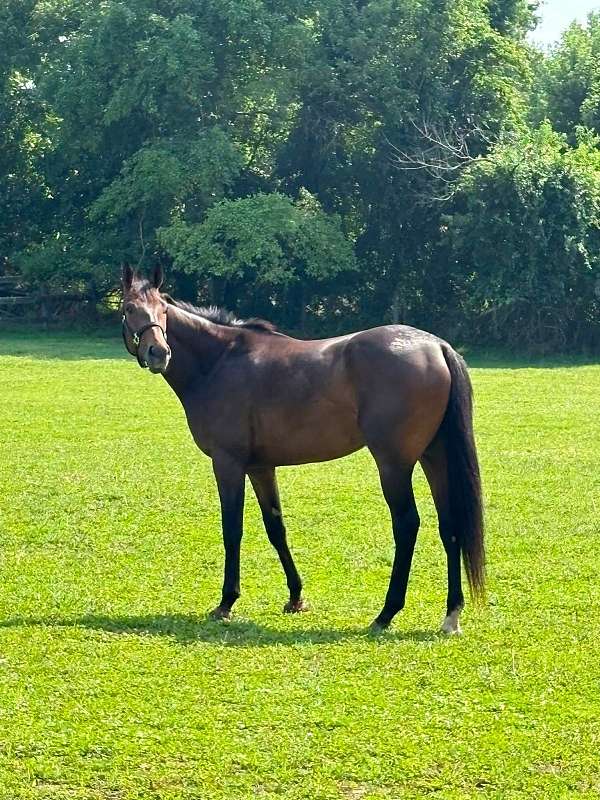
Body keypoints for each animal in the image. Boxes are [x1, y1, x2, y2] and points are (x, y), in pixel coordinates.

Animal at [120, 264, 484, 633]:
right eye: (130, 308)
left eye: (163, 311)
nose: (158, 353)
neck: (219, 361)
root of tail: (436, 346)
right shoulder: (260, 467)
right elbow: (276, 528)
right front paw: (295, 597)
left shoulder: (228, 463)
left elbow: (232, 530)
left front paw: (226, 602)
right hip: (434, 458)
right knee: (450, 526)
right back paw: (451, 614)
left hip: (394, 465)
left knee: (407, 525)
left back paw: (386, 613)